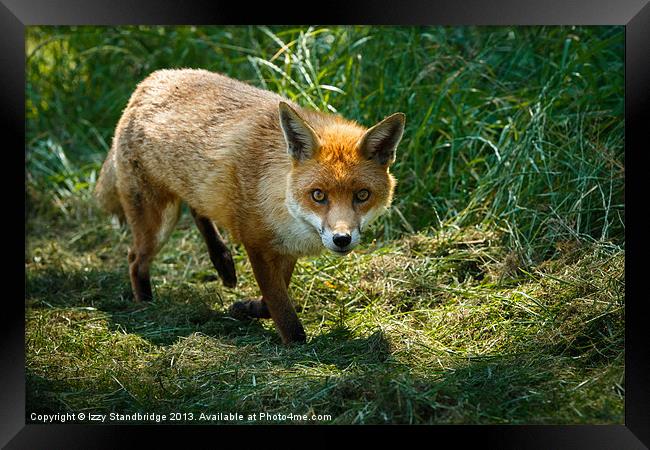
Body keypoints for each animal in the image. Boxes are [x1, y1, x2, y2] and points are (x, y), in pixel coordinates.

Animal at [93, 67, 402, 344]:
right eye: (318, 195)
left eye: (362, 195)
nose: (341, 239)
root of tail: (150, 81)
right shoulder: (259, 246)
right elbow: (281, 306)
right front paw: (295, 343)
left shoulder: (284, 248)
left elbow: (272, 299)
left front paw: (247, 308)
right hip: (158, 222)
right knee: (135, 259)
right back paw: (146, 304)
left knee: (198, 210)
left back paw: (223, 263)